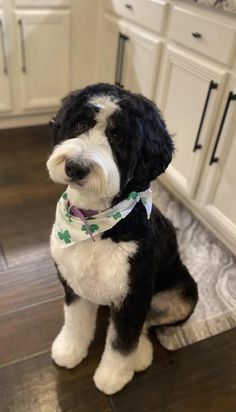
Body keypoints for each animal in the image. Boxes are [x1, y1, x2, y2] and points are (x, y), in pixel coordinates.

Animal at [46, 82, 197, 394]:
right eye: (81, 124)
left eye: (117, 137)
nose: (75, 167)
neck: (94, 226)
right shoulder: (73, 283)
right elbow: (75, 321)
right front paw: (69, 350)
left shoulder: (133, 295)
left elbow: (122, 341)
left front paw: (113, 377)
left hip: (182, 295)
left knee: (148, 324)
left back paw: (140, 356)